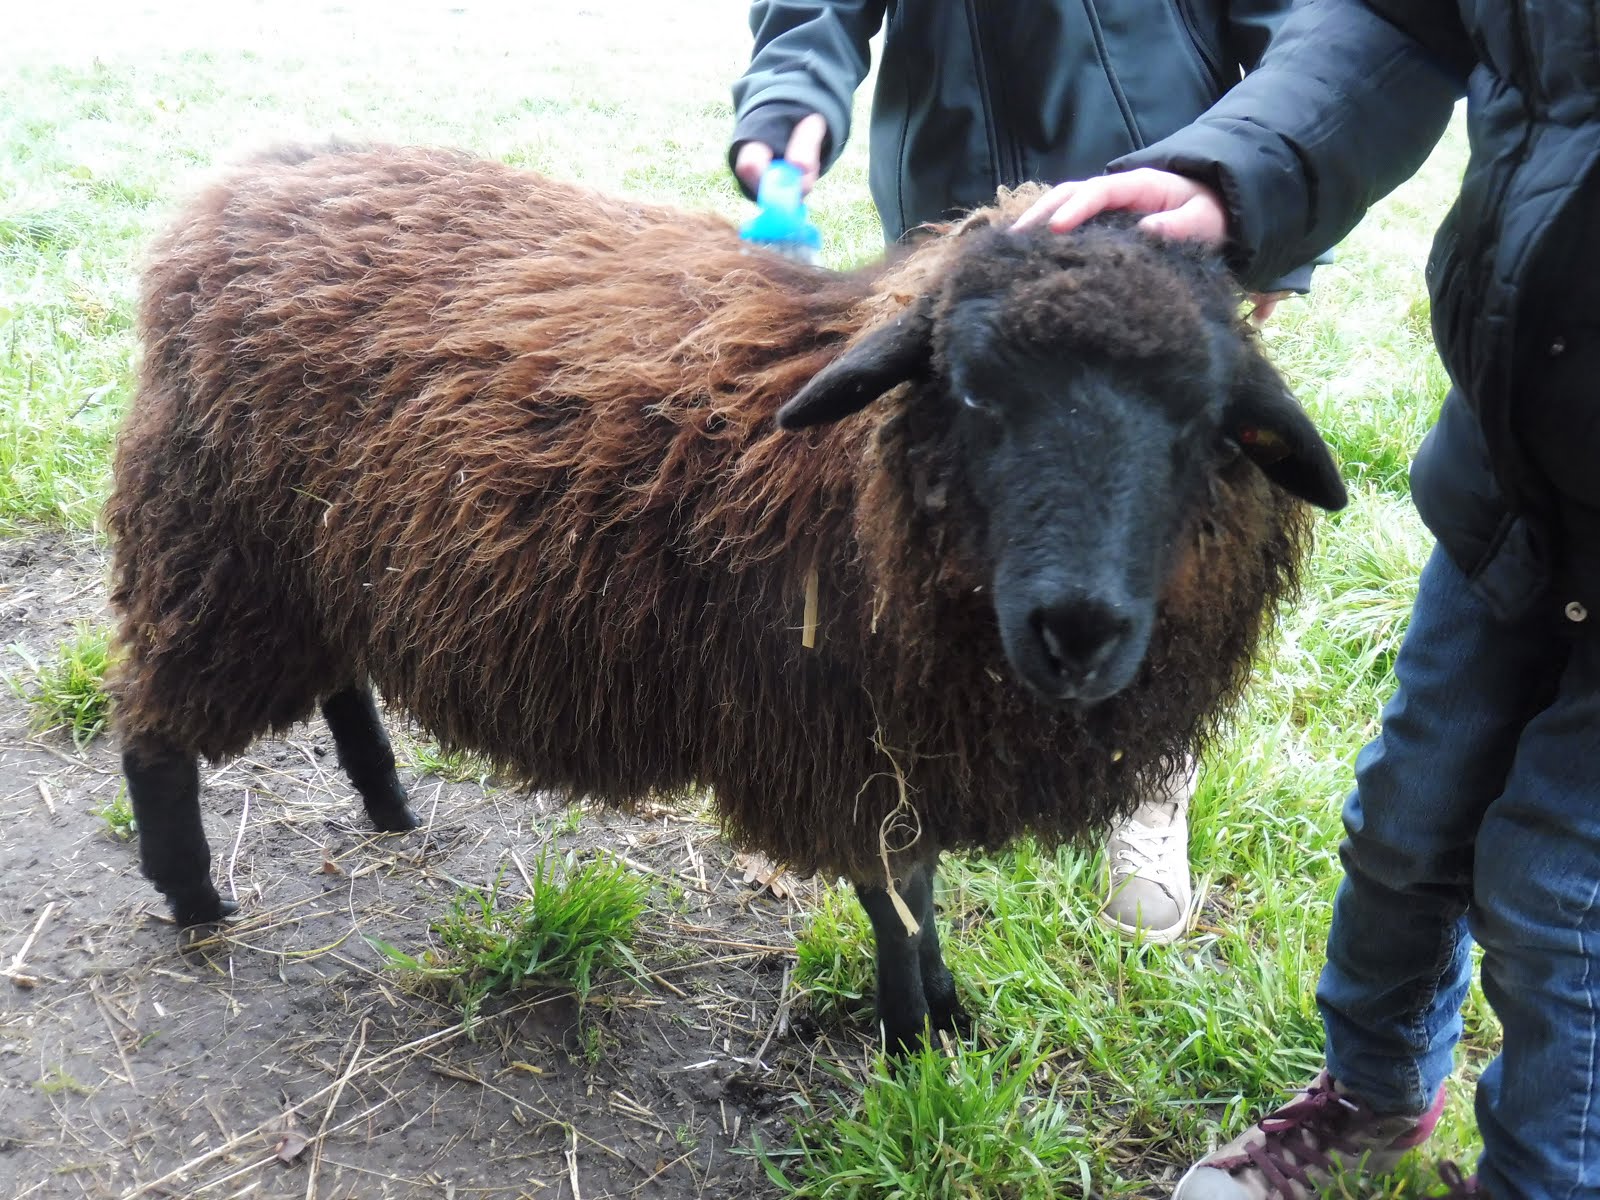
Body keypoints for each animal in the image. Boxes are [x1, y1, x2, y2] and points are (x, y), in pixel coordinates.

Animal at [106, 145, 1344, 1056]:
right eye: (971, 391)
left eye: (1202, 422)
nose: (1076, 631)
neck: (839, 479)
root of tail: (235, 186)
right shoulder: (845, 748)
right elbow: (895, 895)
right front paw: (912, 1032)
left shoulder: (900, 749)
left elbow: (920, 885)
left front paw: (943, 1014)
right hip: (215, 548)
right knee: (153, 728)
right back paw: (193, 895)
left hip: (315, 563)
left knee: (339, 680)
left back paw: (386, 802)